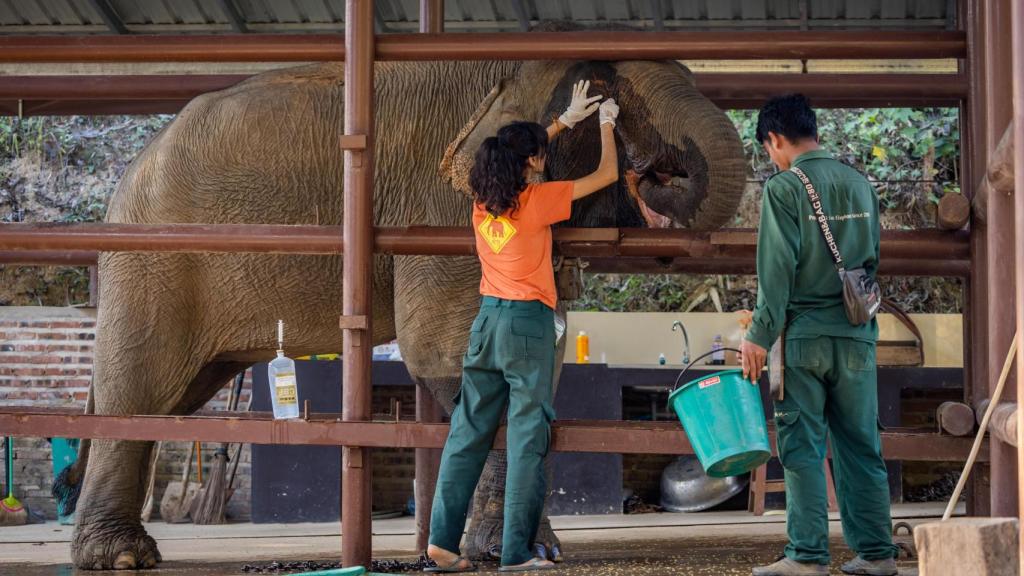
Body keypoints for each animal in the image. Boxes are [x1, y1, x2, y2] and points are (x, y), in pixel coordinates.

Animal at [57, 26, 746, 570]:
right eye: (606, 88)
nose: (656, 172)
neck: (511, 67)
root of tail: (131, 174)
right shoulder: (442, 213)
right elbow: (443, 353)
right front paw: (516, 552)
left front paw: (510, 550)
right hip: (153, 260)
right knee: (139, 391)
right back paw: (119, 558)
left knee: (168, 401)